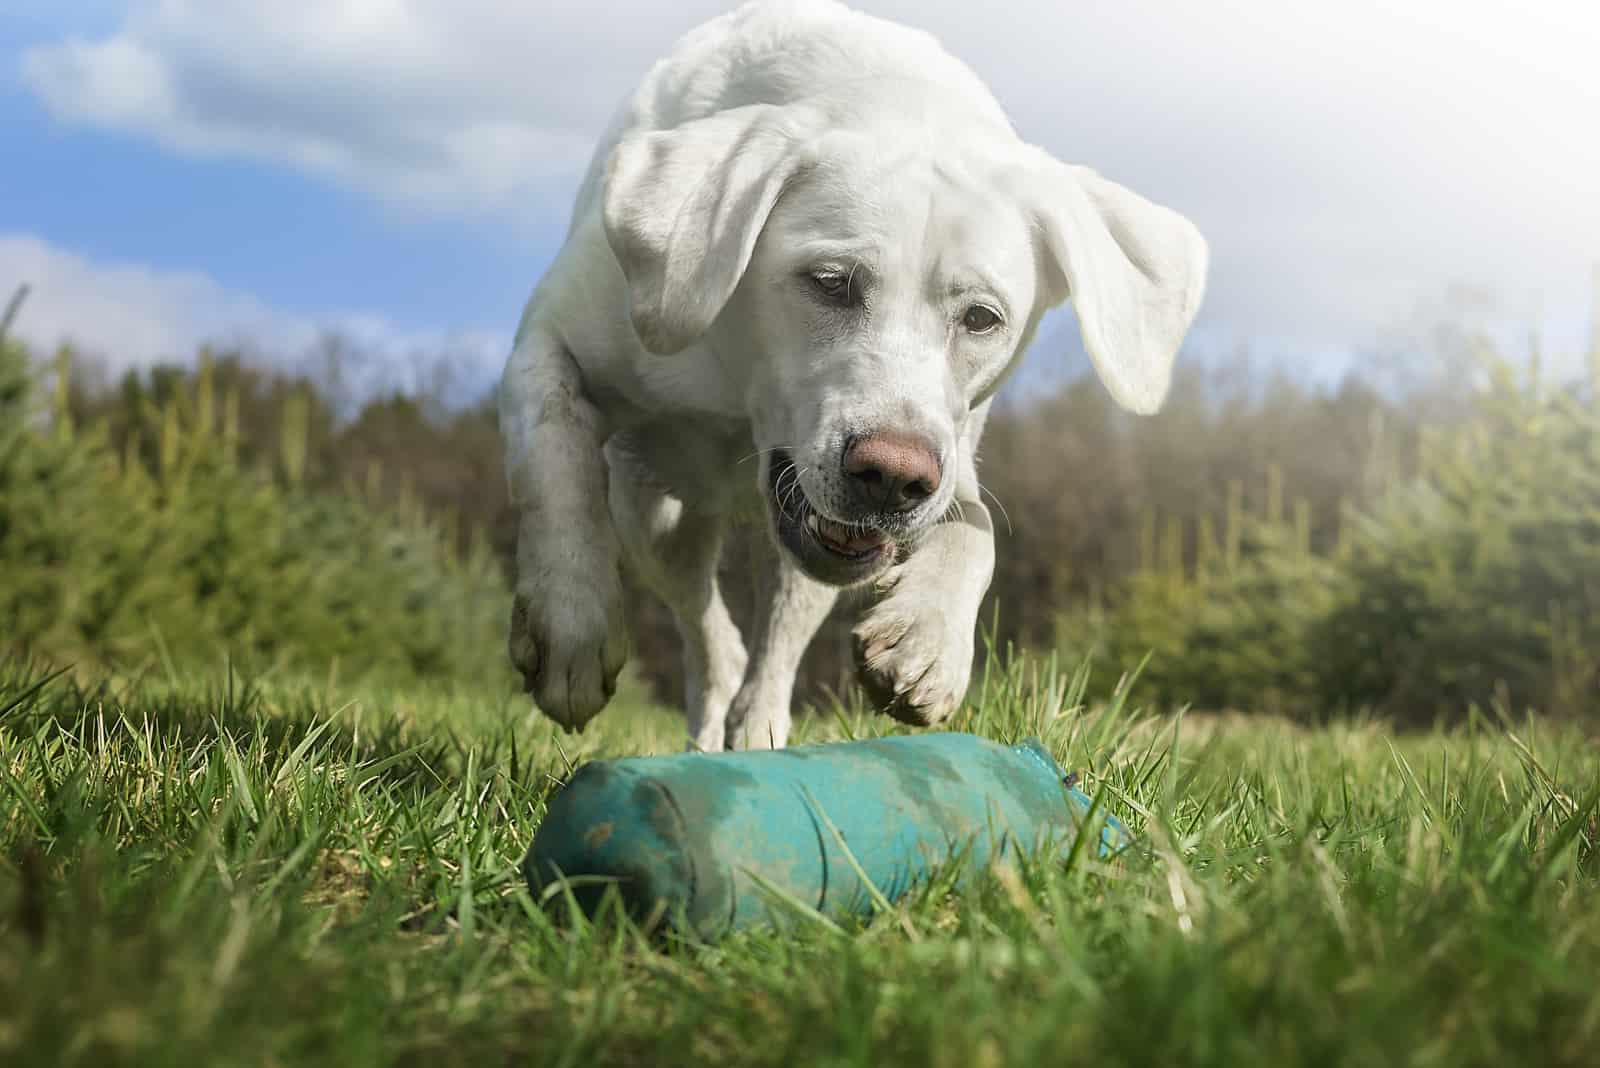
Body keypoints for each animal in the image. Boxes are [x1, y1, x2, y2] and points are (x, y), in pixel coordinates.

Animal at [496, 0, 1203, 751]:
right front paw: (570, 627)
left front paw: (928, 638)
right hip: (653, 515)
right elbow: (555, 469)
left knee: (771, 641)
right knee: (710, 635)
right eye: (831, 282)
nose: (893, 476)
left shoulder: (950, 451)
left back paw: (758, 732)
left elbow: (977, 524)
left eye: (982, 318)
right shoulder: (549, 346)